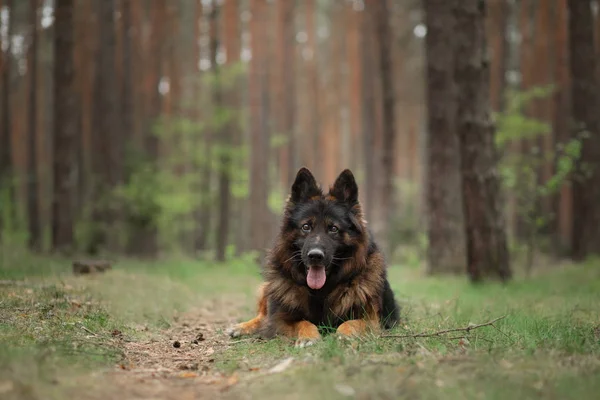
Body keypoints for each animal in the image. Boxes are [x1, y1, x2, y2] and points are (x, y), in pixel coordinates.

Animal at [227, 167, 400, 346]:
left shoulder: (371, 320)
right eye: (306, 226)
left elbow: (351, 323)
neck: (321, 291)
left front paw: (343, 335)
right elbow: (302, 322)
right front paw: (308, 336)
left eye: (333, 228)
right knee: (263, 316)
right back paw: (242, 327)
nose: (315, 256)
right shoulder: (280, 320)